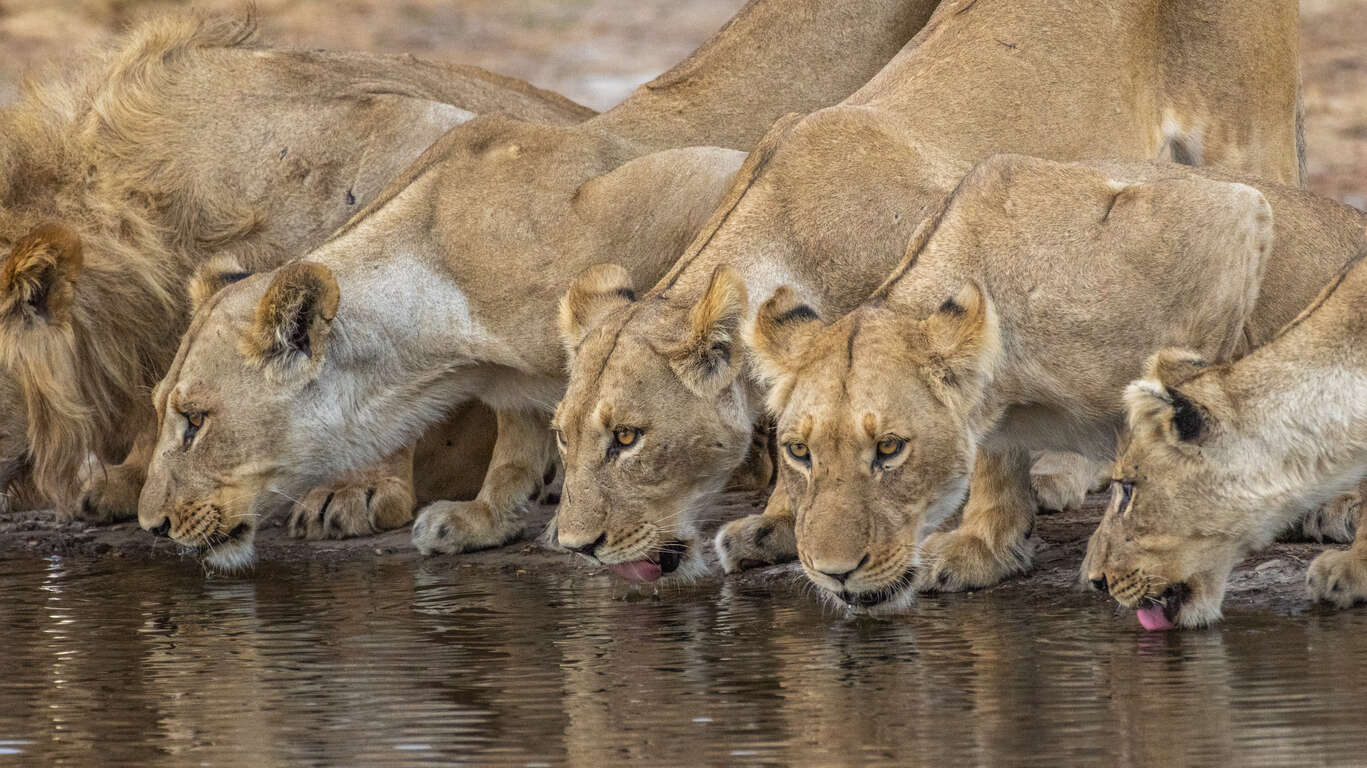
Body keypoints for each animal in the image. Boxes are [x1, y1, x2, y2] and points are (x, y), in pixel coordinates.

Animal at [138, 0, 951, 568]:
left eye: (194, 419)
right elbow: (522, 426)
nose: (151, 524)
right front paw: (490, 516)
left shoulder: (698, 185)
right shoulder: (514, 373)